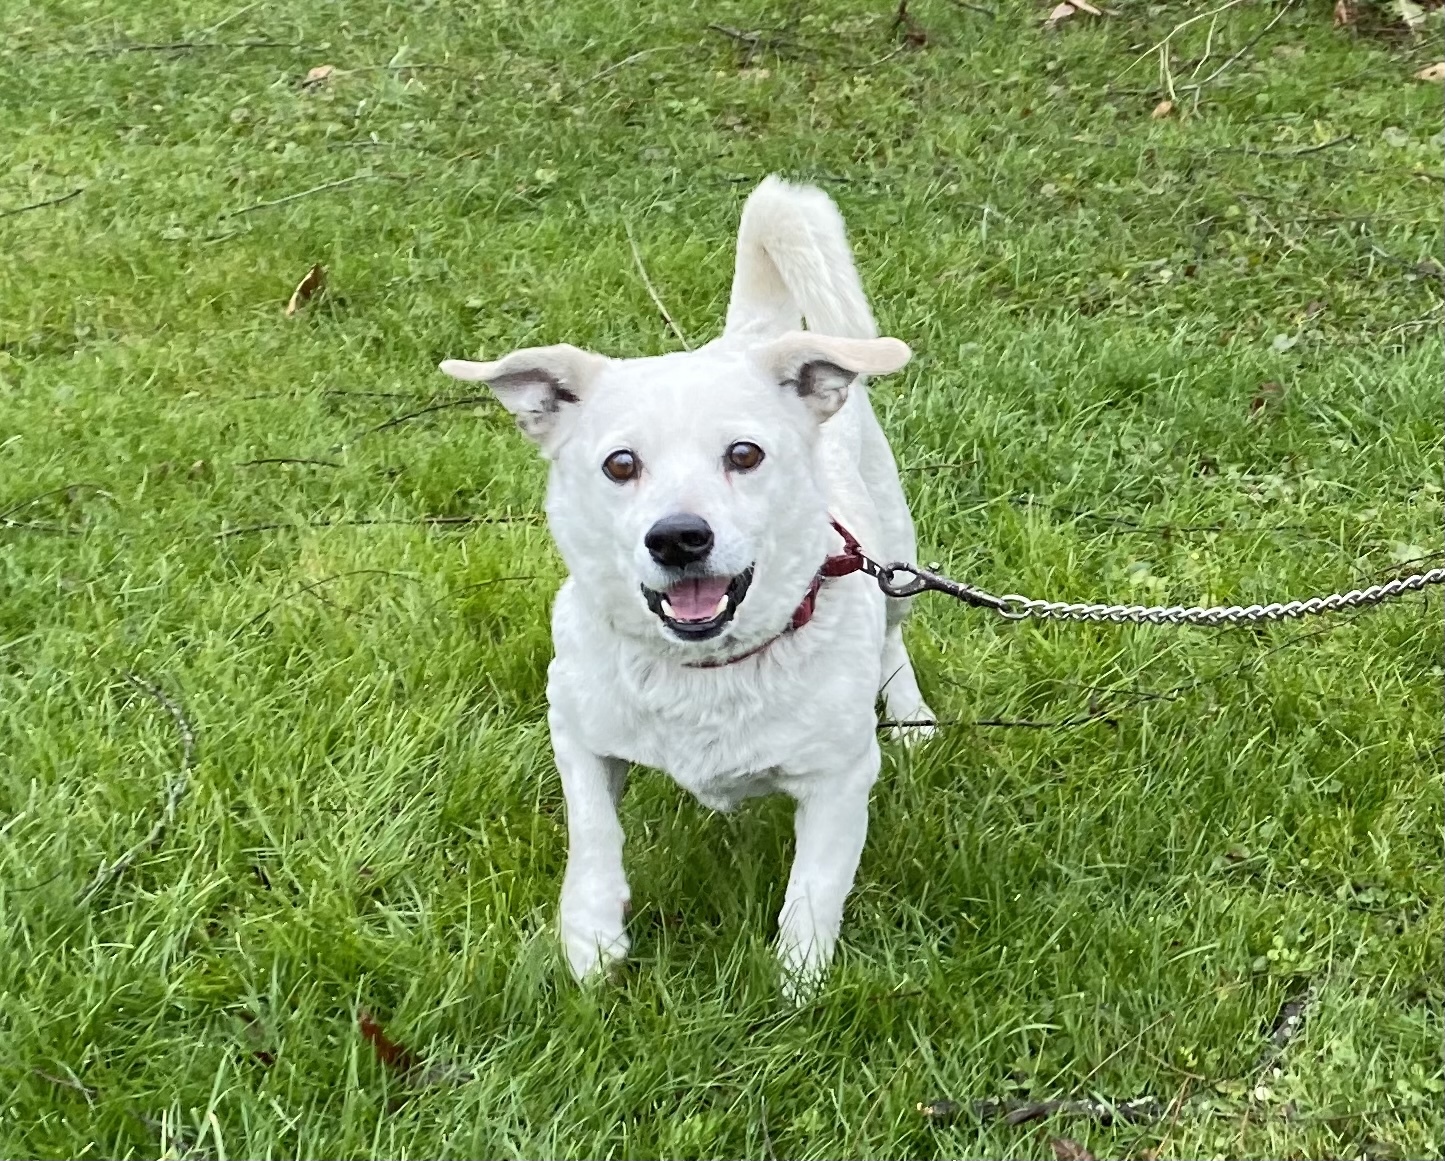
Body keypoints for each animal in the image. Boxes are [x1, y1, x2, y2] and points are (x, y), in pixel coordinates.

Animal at [439, 177, 936, 994]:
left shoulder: (837, 779)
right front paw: (591, 940)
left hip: (895, 556)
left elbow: (812, 892)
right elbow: (592, 837)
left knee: (894, 634)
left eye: (744, 454)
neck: (706, 672)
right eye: (619, 464)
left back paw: (911, 714)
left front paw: (797, 988)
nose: (677, 537)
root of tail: (750, 334)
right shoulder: (574, 730)